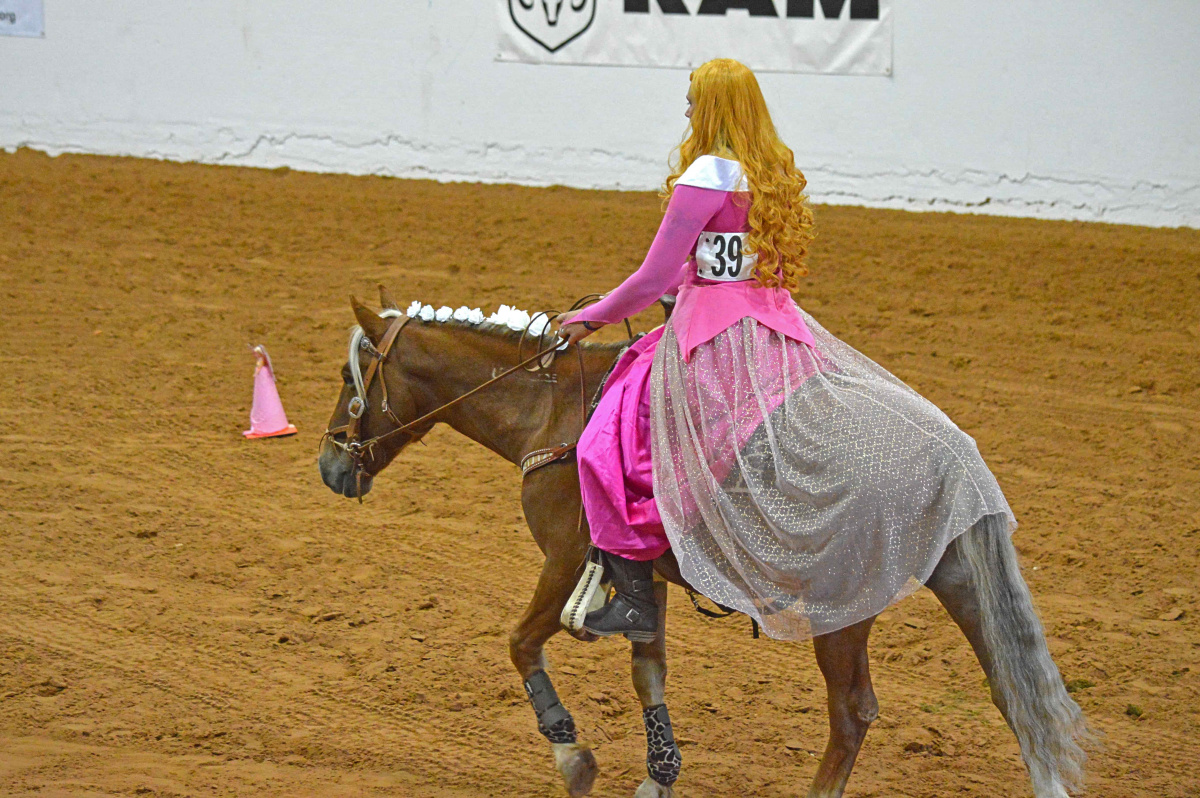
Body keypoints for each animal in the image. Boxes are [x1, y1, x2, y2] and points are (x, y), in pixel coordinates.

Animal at [316, 288, 1089, 796]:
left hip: (843, 609)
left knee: (853, 713)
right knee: (1016, 694)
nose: (329, 465)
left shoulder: (565, 558)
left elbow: (521, 643)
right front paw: (659, 777)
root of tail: (954, 455)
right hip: (960, 582)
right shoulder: (641, 575)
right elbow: (648, 670)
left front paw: (575, 759)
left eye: (348, 377)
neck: (552, 412)